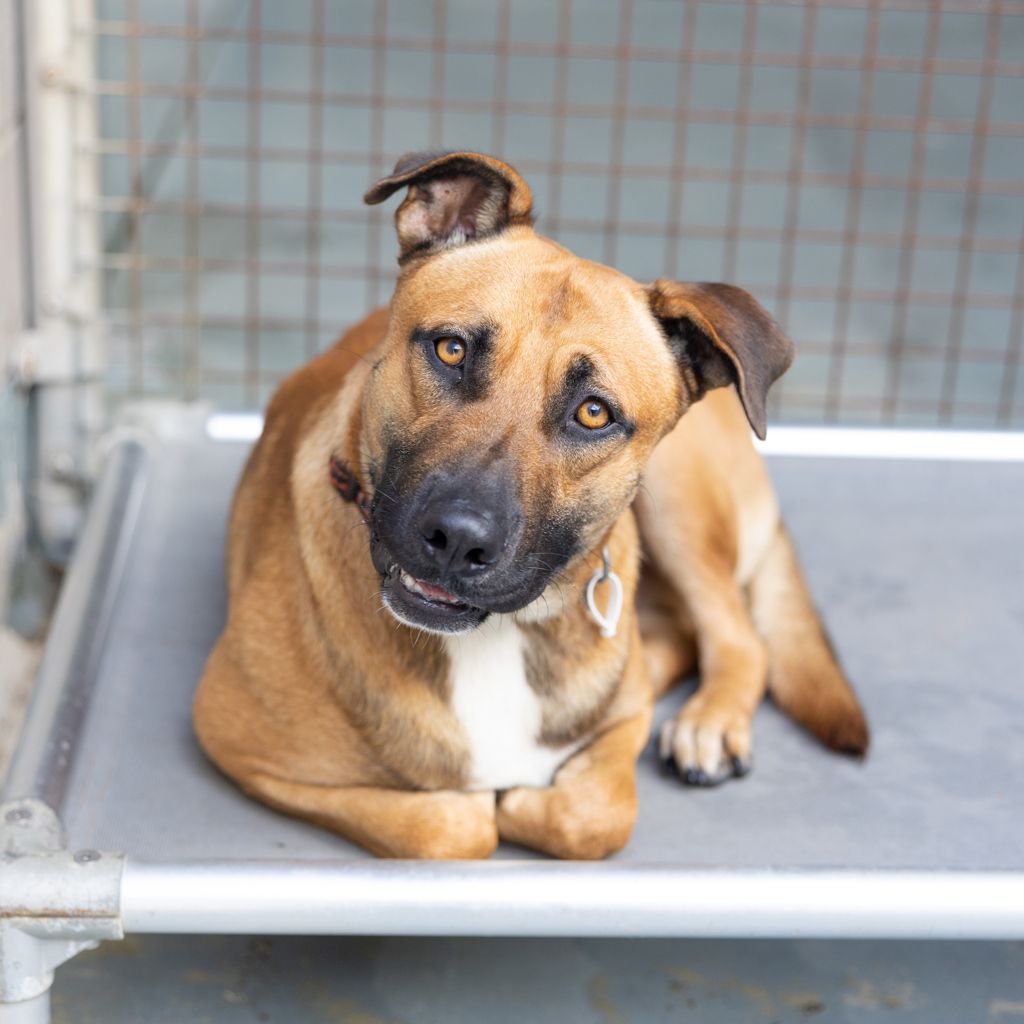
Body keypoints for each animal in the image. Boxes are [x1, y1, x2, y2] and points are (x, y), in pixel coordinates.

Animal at [194, 150, 868, 860]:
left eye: (594, 413)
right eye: (451, 349)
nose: (457, 540)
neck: (496, 634)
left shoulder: (621, 728)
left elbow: (595, 815)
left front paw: (532, 798)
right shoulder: (231, 734)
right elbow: (453, 826)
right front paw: (491, 803)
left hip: (678, 504)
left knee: (737, 635)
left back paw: (706, 722)